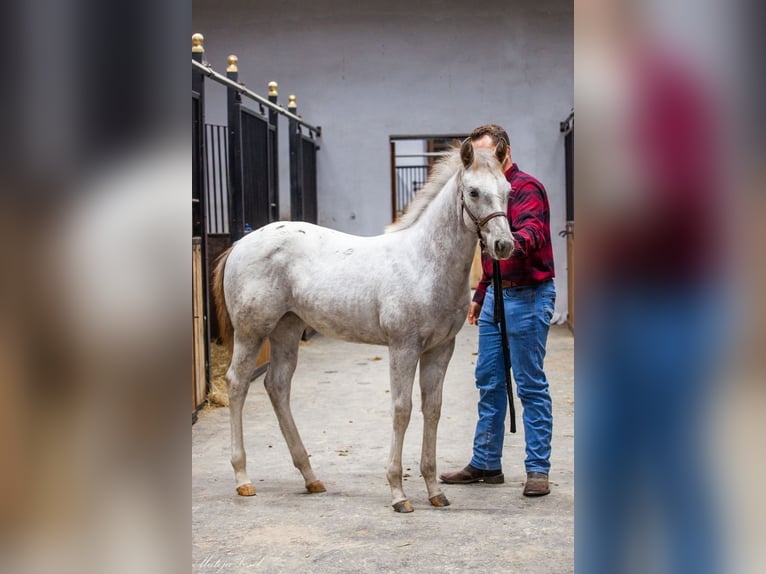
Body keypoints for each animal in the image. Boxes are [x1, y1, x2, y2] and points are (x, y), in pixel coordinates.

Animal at [214, 138, 516, 512]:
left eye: (508, 190)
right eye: (473, 192)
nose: (504, 245)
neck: (424, 262)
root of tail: (241, 243)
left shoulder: (440, 348)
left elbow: (432, 409)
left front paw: (434, 490)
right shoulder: (403, 347)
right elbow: (402, 410)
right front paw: (398, 493)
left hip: (287, 329)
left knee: (277, 386)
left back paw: (310, 477)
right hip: (252, 331)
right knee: (238, 384)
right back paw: (243, 478)